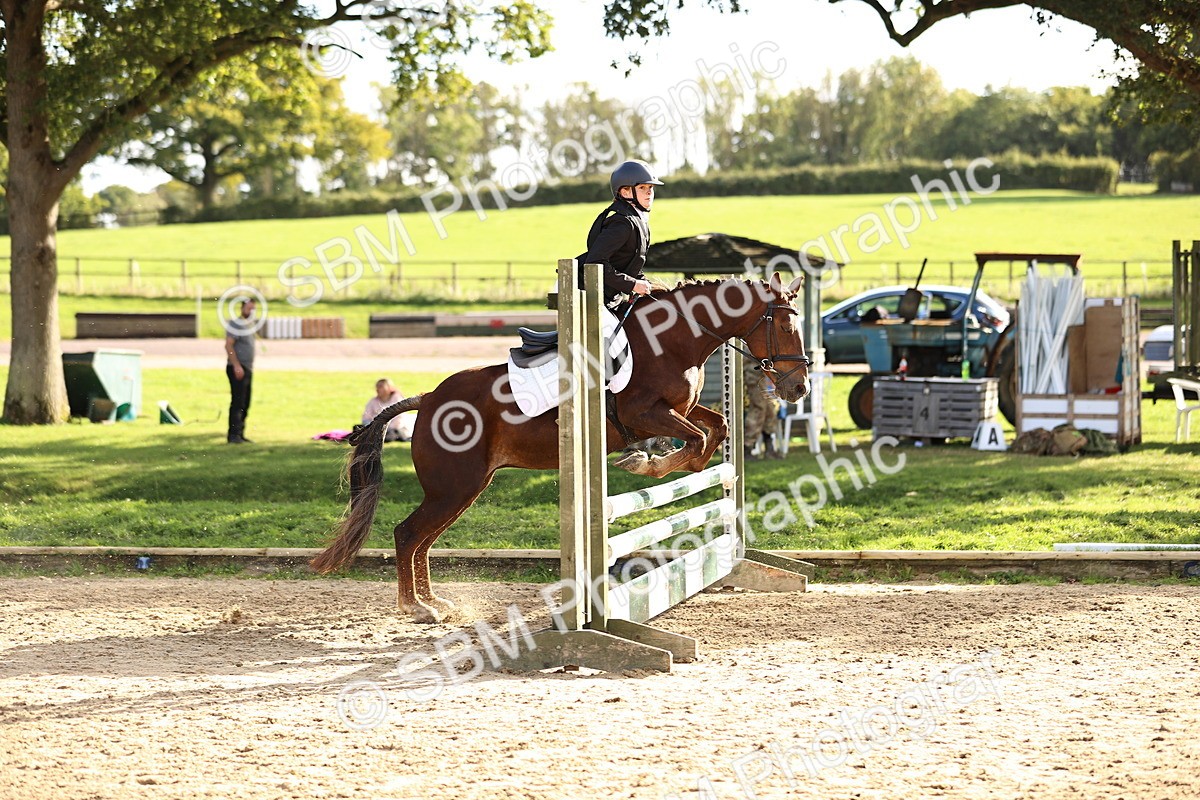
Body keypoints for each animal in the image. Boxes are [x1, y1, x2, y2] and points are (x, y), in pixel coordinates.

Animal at [311, 272, 811, 622]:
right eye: (784, 328)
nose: (799, 388)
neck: (673, 341)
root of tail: (428, 398)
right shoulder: (644, 414)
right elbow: (697, 439)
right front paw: (644, 463)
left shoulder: (681, 410)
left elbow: (716, 430)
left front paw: (660, 462)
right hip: (453, 488)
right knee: (408, 534)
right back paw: (417, 608)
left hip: (464, 490)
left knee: (422, 540)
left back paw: (436, 602)